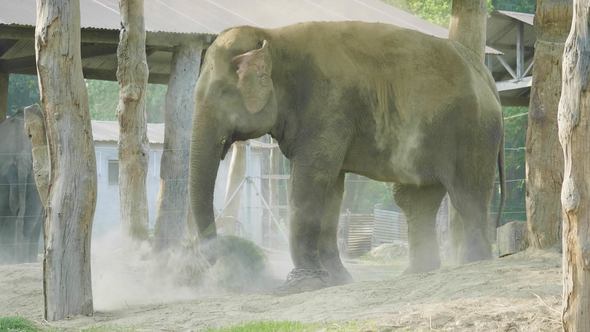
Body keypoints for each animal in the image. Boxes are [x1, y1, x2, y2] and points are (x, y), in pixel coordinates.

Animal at [192, 20, 506, 290]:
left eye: (222, 93)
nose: (216, 260)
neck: (272, 37)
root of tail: (485, 74)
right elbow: (332, 188)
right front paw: (336, 280)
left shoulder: (328, 108)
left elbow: (311, 181)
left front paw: (303, 284)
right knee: (415, 200)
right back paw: (416, 272)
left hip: (473, 131)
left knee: (467, 196)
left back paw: (473, 264)